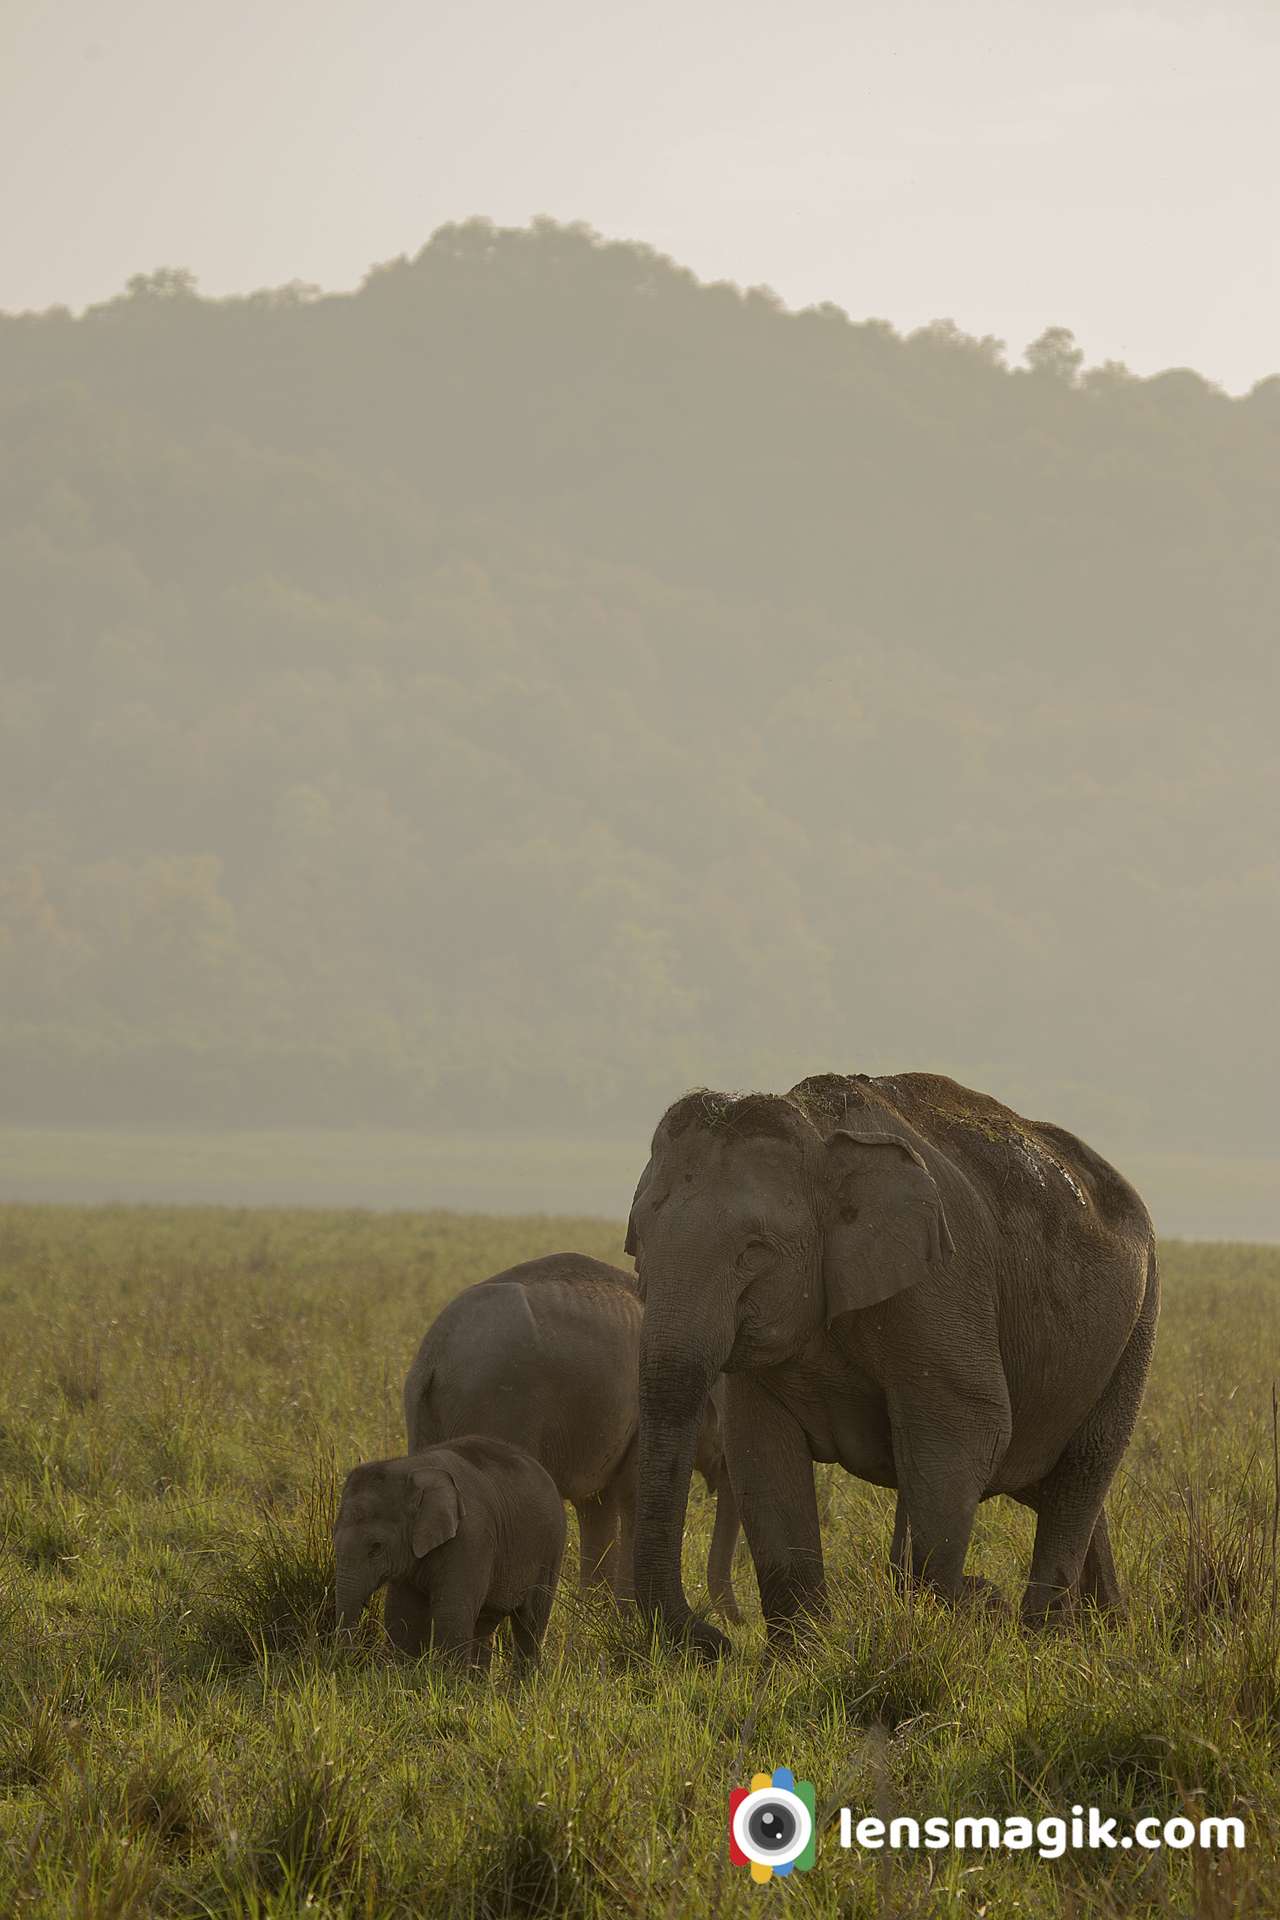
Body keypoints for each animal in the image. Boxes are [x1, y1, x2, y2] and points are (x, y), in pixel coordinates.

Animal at [335, 1436, 564, 1674]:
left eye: (376, 1547)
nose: (349, 1663)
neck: (410, 1467)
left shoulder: (472, 1537)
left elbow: (451, 1612)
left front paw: (447, 1680)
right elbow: (404, 1613)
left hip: (551, 1547)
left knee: (531, 1622)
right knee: (485, 1623)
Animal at [401, 1251, 740, 1612]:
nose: (741, 1621)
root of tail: (434, 1354)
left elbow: (597, 1507)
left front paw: (598, 1617)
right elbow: (631, 1497)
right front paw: (628, 1619)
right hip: (496, 1404)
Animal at [629, 1075, 1159, 1658]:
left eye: (754, 1252)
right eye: (638, 1244)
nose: (717, 1643)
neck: (818, 1134)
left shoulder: (941, 1284)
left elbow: (965, 1430)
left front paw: (937, 1628)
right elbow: (761, 1448)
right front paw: (797, 1660)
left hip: (1139, 1318)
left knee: (1082, 1468)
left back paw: (1045, 1641)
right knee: (1045, 1481)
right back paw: (1103, 1633)